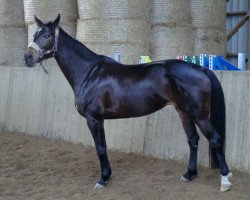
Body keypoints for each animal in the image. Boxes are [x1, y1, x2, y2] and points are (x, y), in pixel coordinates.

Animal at [23, 15, 232, 191]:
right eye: (34, 34)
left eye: (47, 35)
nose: (28, 58)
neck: (89, 73)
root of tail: (201, 69)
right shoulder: (99, 120)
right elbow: (104, 146)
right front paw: (107, 176)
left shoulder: (93, 119)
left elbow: (100, 148)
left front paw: (102, 179)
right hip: (184, 113)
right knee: (193, 140)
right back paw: (189, 174)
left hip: (199, 115)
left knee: (214, 139)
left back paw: (225, 179)